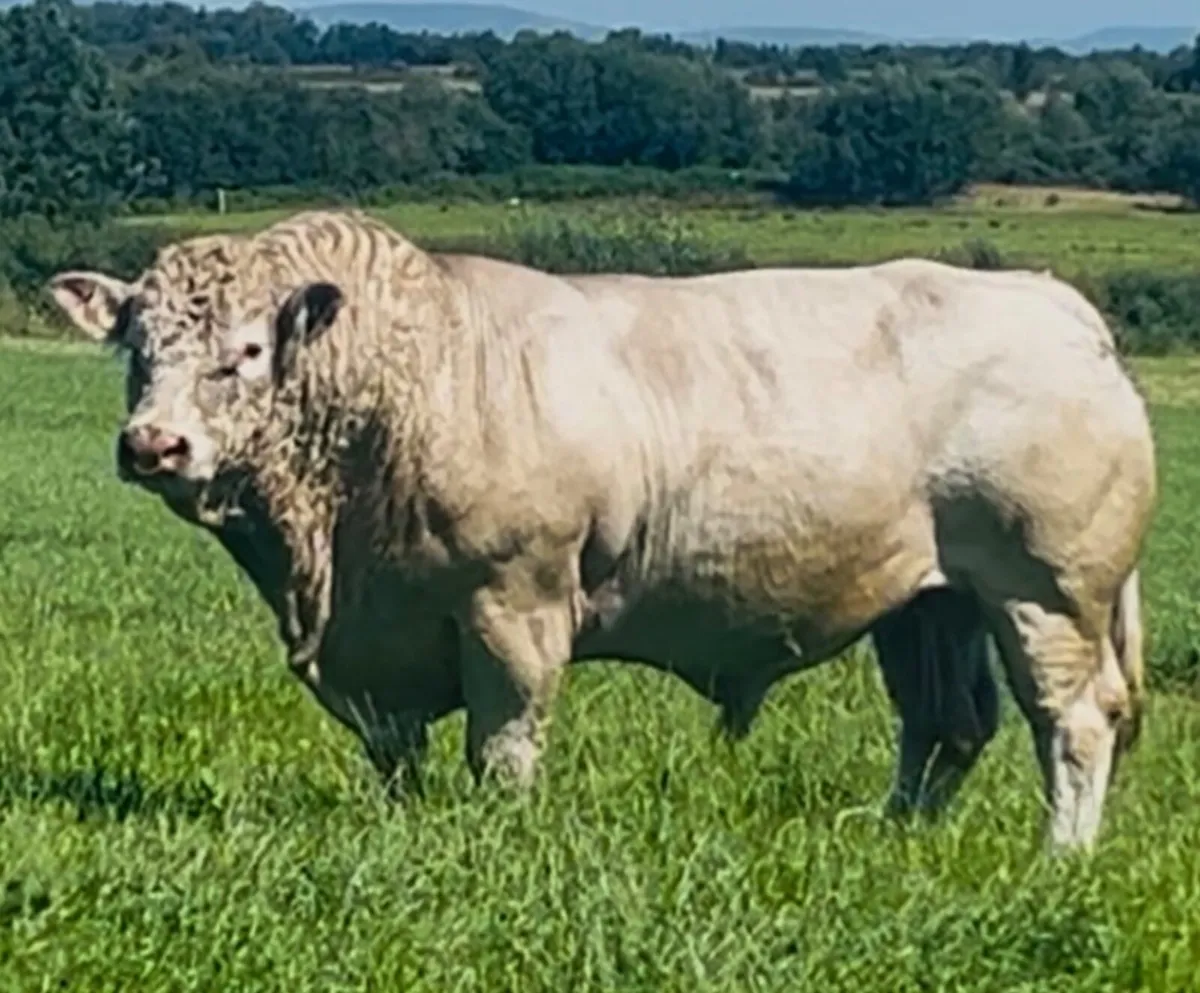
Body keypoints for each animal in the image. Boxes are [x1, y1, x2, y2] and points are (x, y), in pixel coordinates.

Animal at [47, 208, 1156, 851]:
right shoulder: (376, 642)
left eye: (243, 352)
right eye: (135, 347)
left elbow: (503, 741)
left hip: (1046, 590)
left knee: (1073, 720)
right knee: (945, 723)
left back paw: (1060, 855)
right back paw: (892, 842)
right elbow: (394, 752)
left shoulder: (514, 605)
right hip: (931, 603)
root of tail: (1060, 310)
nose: (152, 444)